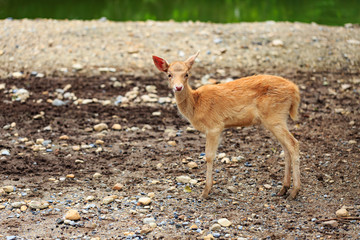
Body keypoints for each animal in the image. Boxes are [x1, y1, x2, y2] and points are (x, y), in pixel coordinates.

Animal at [152, 51, 300, 200]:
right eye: (169, 74)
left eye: (187, 74)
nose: (178, 87)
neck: (196, 105)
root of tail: (295, 90)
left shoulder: (214, 126)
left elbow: (209, 156)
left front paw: (205, 191)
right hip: (277, 118)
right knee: (285, 147)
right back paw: (284, 188)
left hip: (274, 116)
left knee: (293, 144)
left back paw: (294, 191)